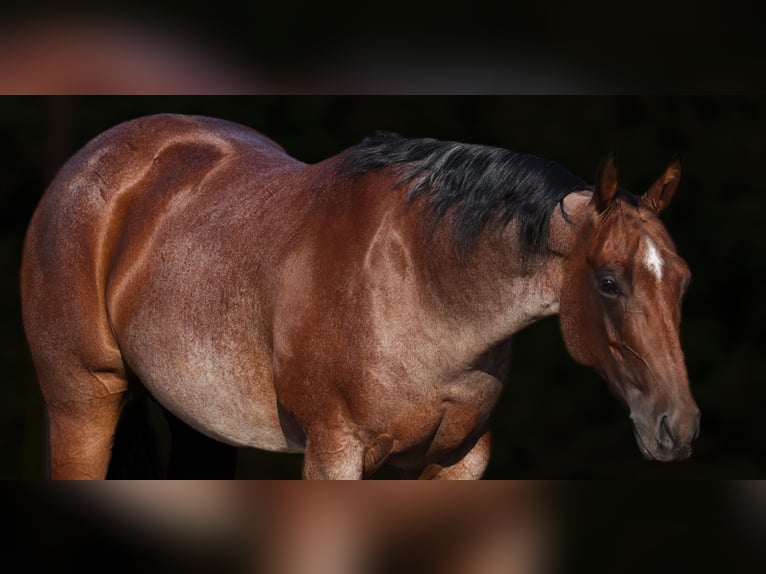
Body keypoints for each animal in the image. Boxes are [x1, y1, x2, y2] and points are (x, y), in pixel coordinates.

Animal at [20, 113, 700, 479]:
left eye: (682, 278)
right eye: (609, 281)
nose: (679, 427)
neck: (424, 286)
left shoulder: (460, 461)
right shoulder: (336, 454)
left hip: (201, 426)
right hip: (83, 406)